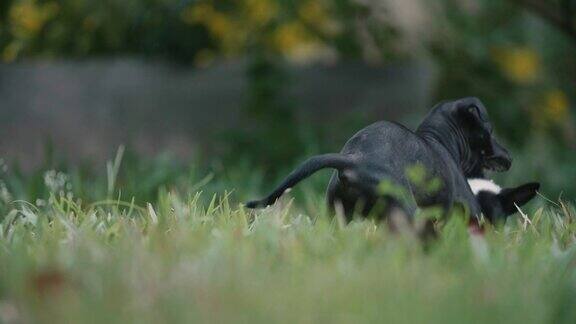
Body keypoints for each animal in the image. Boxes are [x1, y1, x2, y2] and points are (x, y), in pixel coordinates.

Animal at [245, 97, 510, 221]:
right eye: (490, 131)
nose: (509, 157)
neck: (439, 139)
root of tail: (354, 159)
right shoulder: (468, 210)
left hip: (337, 215)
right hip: (406, 210)